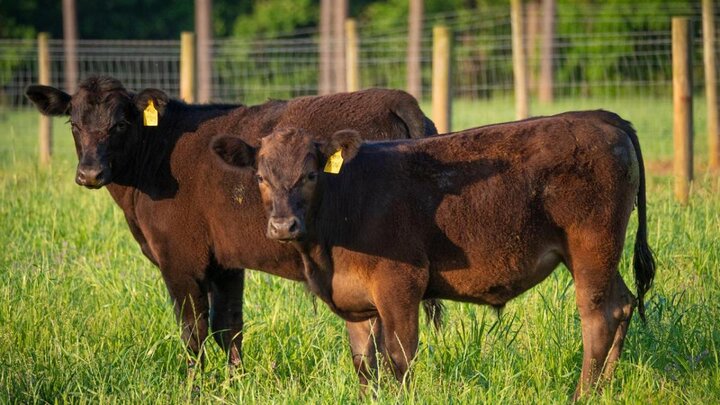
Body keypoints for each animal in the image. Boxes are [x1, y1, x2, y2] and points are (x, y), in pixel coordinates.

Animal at [26, 76, 438, 370]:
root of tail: (395, 98)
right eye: (73, 123)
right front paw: (233, 383)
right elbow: (228, 328)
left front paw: (193, 388)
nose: (89, 173)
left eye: (121, 124)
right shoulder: (225, 261)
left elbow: (193, 332)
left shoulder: (179, 258)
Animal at [215, 109, 660, 394]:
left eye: (310, 174)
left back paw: (583, 393)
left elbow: (399, 358)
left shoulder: (400, 285)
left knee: (598, 316)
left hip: (590, 247)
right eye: (260, 177)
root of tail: (601, 117)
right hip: (601, 256)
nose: (283, 226)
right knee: (622, 304)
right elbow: (364, 365)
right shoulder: (358, 301)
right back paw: (605, 388)